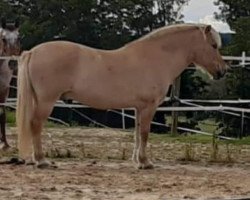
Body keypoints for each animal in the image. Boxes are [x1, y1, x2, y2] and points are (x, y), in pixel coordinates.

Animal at [15, 23, 227, 169]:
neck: (155, 58)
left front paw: (137, 161)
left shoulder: (138, 108)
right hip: (46, 101)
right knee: (36, 125)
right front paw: (146, 163)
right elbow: (145, 133)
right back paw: (42, 161)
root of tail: (32, 51)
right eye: (213, 45)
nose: (222, 71)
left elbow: (137, 134)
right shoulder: (149, 107)